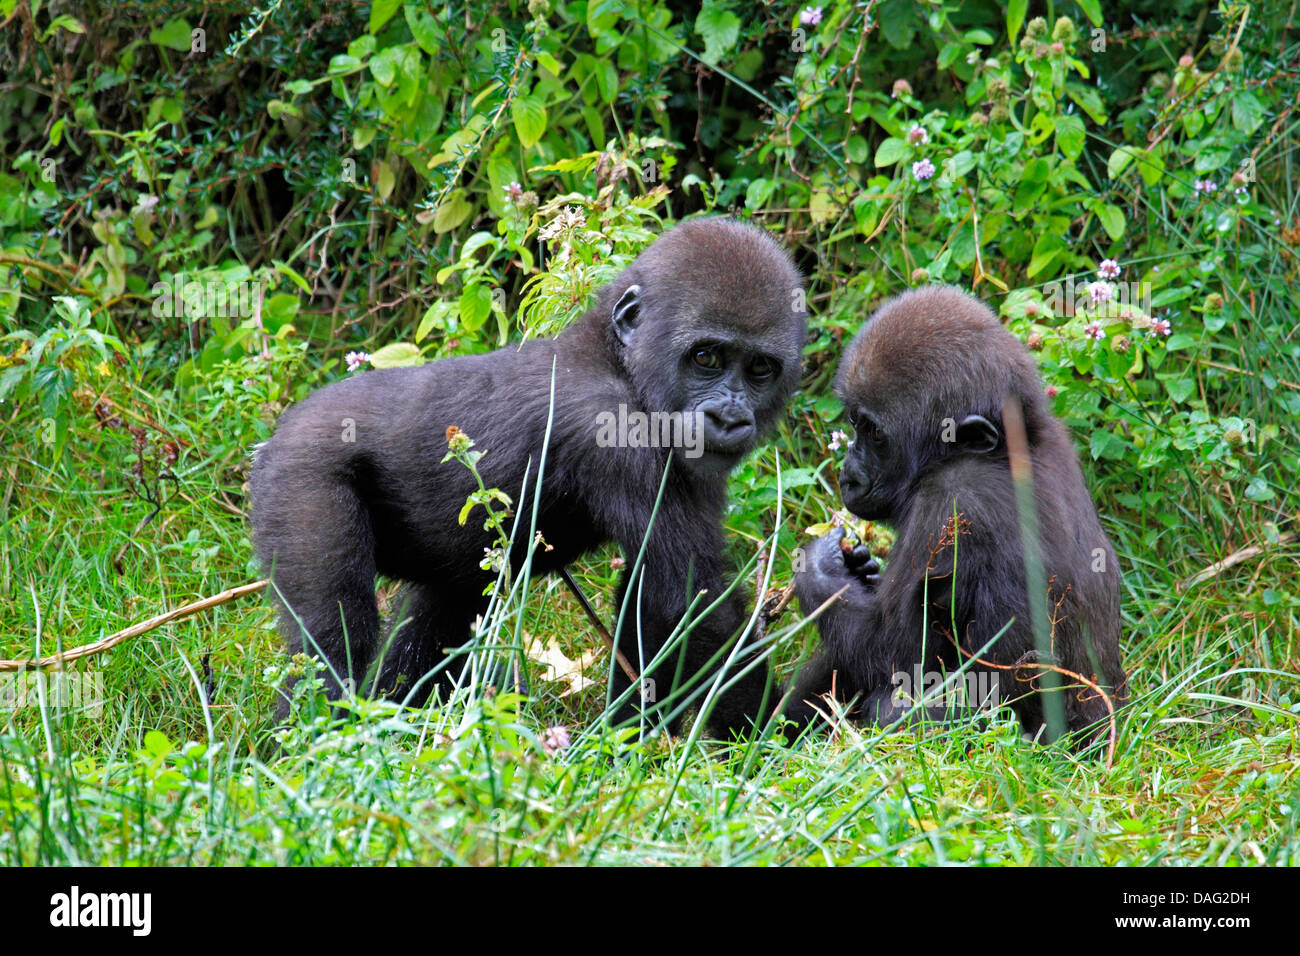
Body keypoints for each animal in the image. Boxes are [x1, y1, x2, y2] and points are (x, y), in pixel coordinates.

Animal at [249, 221, 806, 738]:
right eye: (706, 357)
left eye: (760, 369)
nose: (729, 418)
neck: (618, 359)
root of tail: (277, 434)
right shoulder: (612, 424)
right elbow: (695, 604)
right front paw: (777, 739)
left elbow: (659, 600)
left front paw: (629, 739)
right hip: (299, 473)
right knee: (332, 637)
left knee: (444, 607)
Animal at [780, 287, 1128, 743]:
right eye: (854, 423)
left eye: (876, 434)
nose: (848, 475)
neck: (1005, 447)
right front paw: (856, 566)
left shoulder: (947, 501)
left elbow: (892, 655)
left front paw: (820, 569)